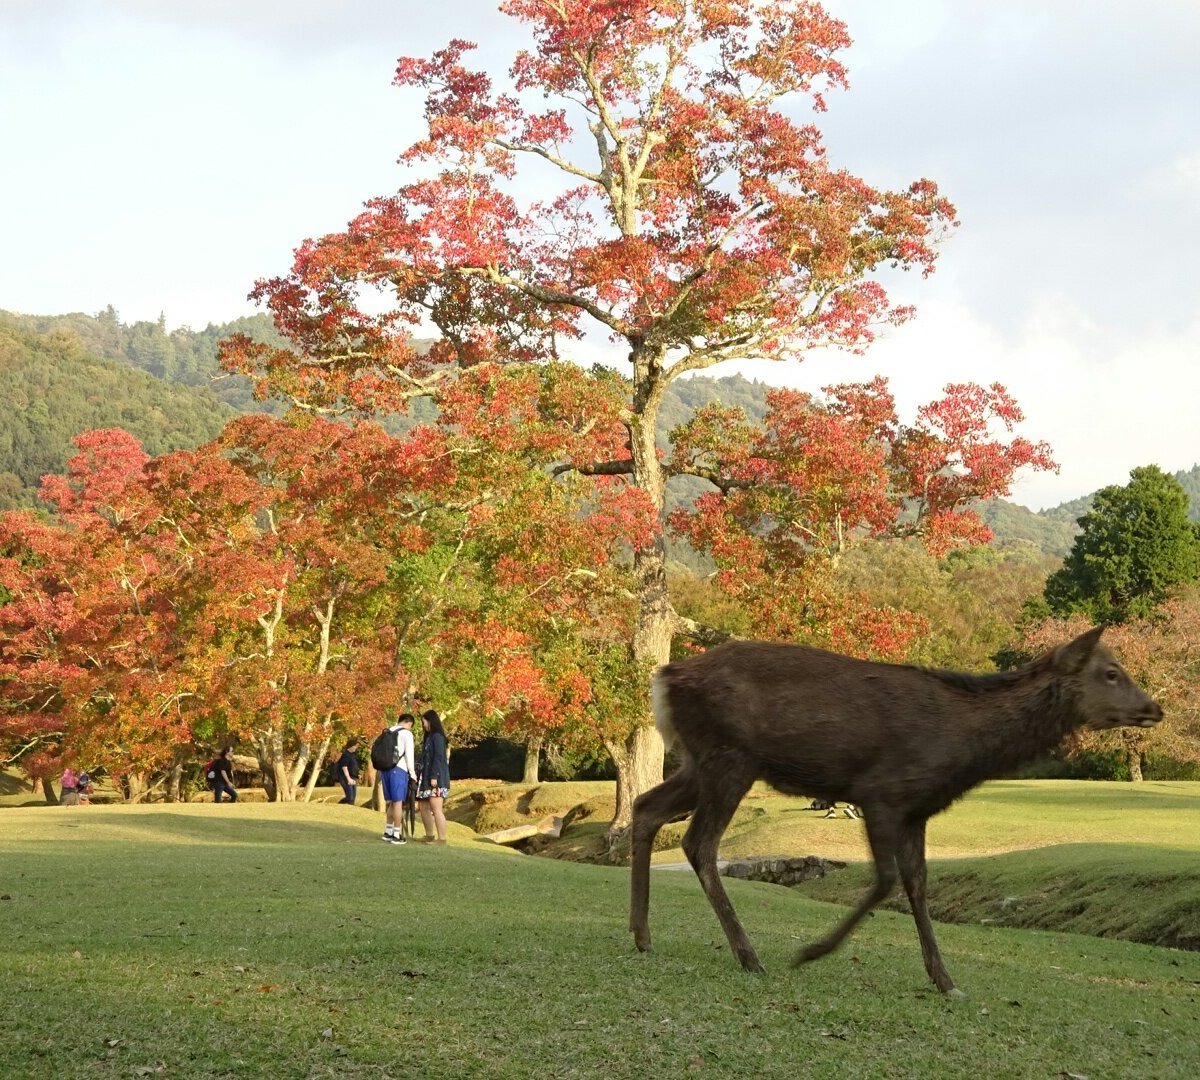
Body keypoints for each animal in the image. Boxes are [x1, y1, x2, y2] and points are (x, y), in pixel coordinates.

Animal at [628, 633, 1161, 993]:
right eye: (1111, 672)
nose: (1155, 708)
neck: (962, 752)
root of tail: (664, 677)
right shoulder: (881, 793)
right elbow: (886, 880)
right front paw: (812, 952)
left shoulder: (917, 810)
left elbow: (918, 886)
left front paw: (945, 979)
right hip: (729, 756)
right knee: (699, 841)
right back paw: (749, 955)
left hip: (701, 762)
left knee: (644, 805)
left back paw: (642, 935)